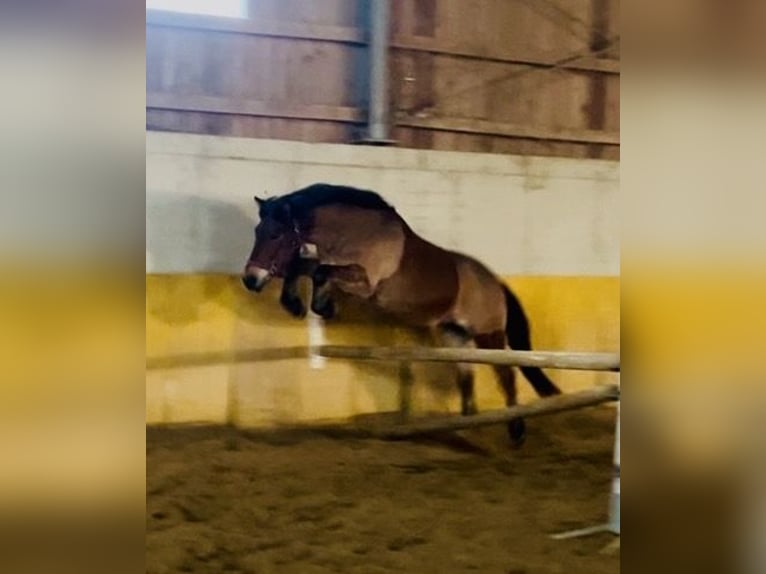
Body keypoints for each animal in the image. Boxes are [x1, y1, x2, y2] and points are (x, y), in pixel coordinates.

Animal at [242, 183, 561, 445]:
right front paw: (303, 304)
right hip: (454, 334)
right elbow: (307, 267)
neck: (354, 233)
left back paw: (516, 431)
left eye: (275, 234)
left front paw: (316, 304)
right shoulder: (331, 264)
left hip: (488, 334)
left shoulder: (365, 282)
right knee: (466, 374)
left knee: (506, 375)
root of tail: (495, 283)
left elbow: (317, 270)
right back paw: (468, 425)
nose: (250, 280)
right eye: (257, 232)